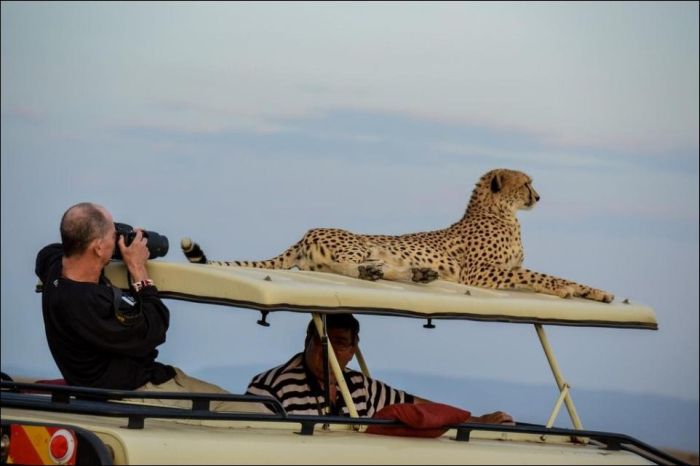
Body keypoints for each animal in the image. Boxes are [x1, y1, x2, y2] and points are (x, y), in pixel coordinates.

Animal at [180, 169, 612, 304]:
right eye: (527, 183)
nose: (538, 197)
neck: (500, 211)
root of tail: (307, 231)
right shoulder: (481, 275)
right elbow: (542, 275)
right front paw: (575, 289)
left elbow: (542, 273)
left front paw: (595, 292)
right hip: (358, 243)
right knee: (353, 267)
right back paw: (388, 273)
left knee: (358, 270)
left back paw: (418, 275)